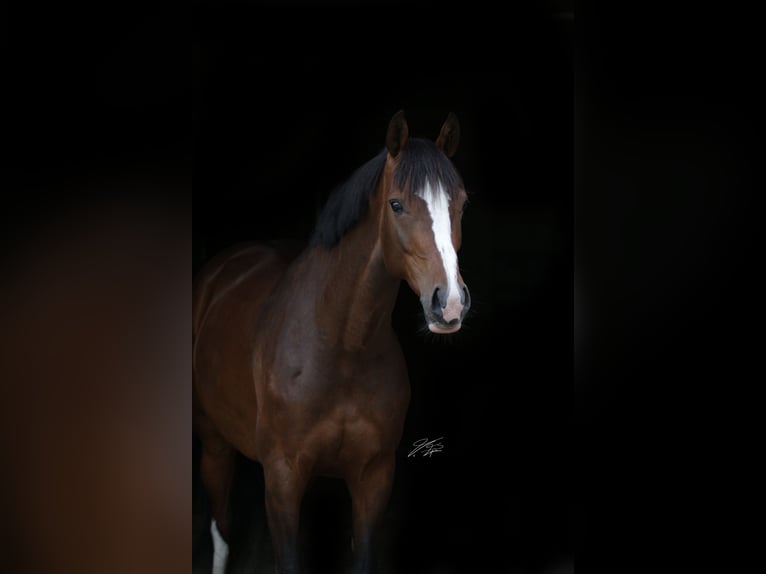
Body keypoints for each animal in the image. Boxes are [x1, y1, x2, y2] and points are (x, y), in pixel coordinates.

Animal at [192, 110, 471, 574]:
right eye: (396, 204)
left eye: (461, 203)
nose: (448, 303)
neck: (340, 349)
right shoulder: (282, 479)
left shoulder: (374, 477)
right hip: (214, 442)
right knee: (221, 528)